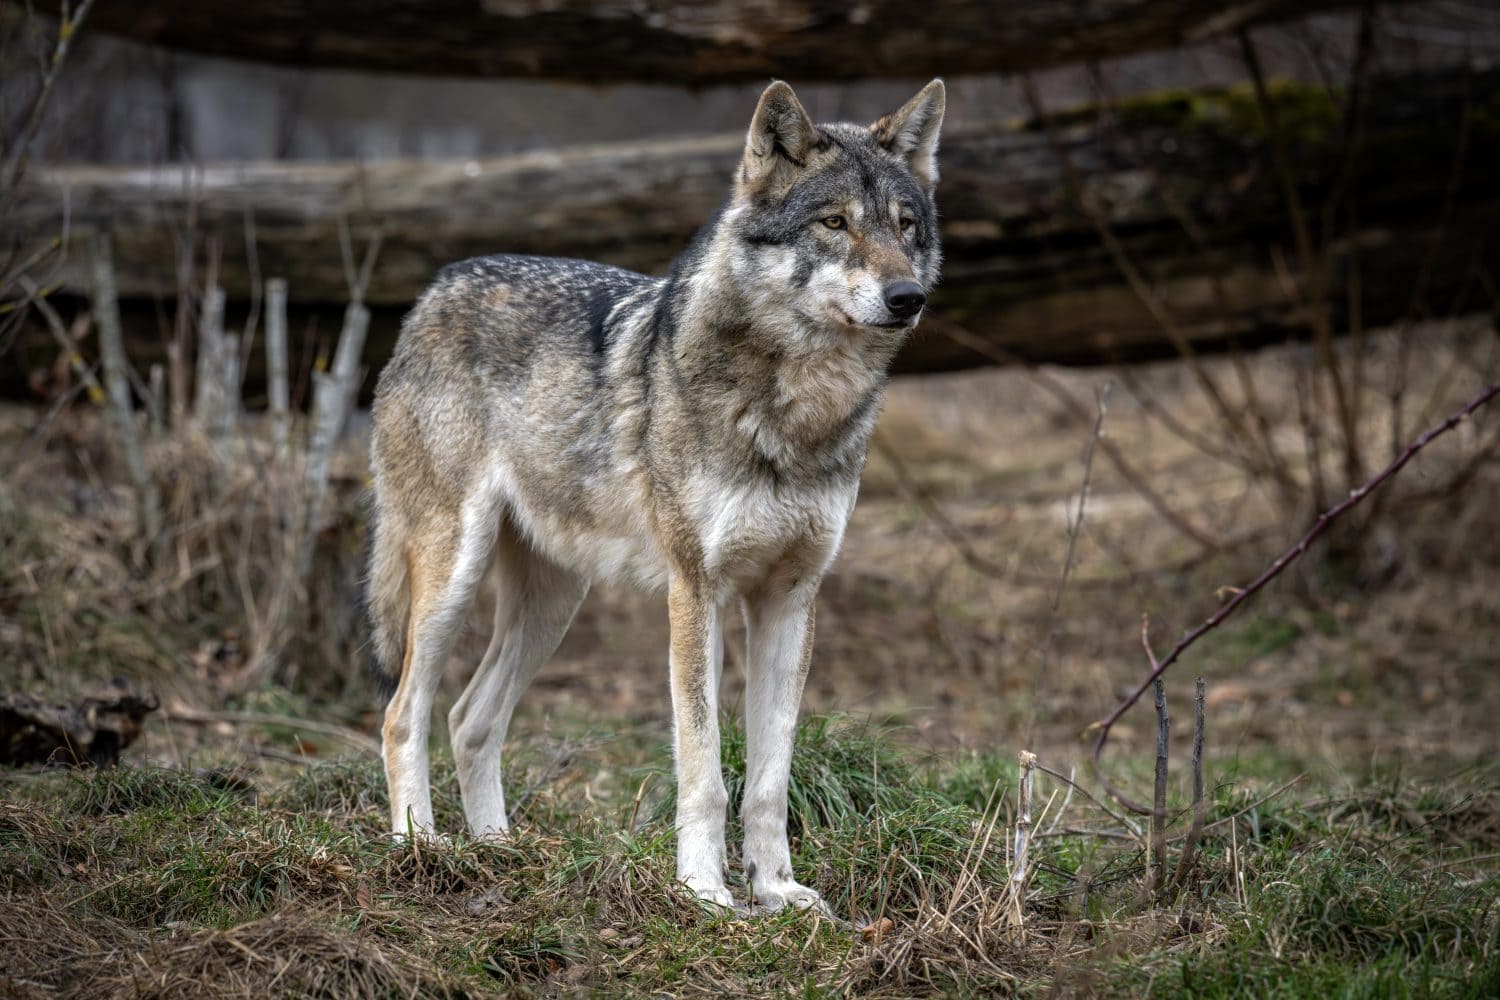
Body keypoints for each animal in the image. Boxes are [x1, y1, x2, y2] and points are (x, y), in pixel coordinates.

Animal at [367, 79, 944, 912]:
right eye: (835, 223)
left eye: (904, 226)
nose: (907, 296)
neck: (794, 413)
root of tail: (437, 287)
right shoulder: (694, 591)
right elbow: (703, 767)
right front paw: (705, 891)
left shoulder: (792, 598)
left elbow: (769, 778)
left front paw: (777, 890)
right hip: (452, 576)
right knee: (402, 715)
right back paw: (421, 846)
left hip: (553, 603)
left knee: (470, 717)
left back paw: (501, 851)